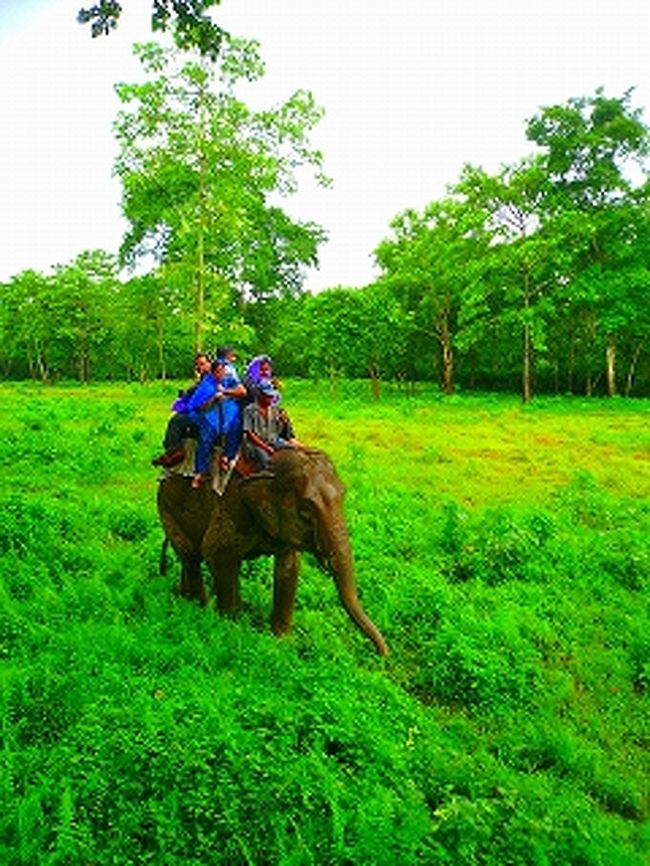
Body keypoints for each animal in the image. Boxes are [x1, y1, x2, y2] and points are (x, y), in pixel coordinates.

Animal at [156, 446, 390, 656]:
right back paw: (197, 607)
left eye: (343, 496)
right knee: (192, 556)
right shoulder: (231, 508)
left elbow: (289, 568)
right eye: (305, 513)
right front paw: (231, 631)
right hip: (165, 508)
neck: (266, 467)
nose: (381, 654)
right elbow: (216, 554)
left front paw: (281, 641)